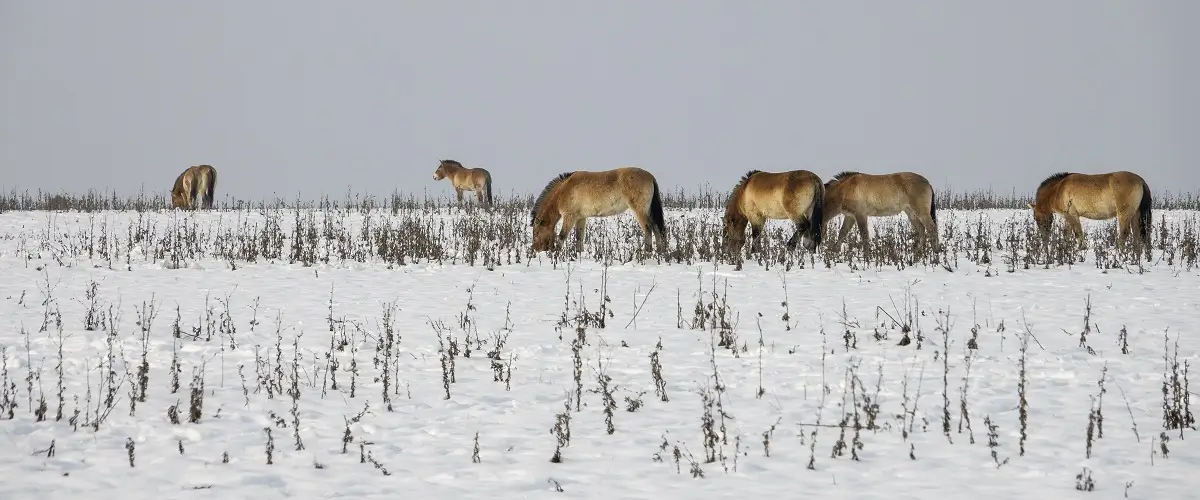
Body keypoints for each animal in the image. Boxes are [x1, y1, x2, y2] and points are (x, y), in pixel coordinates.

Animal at [532, 166, 672, 252]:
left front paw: (556, 255)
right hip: (648, 211)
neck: (564, 190)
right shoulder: (581, 218)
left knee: (648, 229)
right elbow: (579, 239)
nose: (536, 249)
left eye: (537, 232)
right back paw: (660, 252)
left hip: (639, 211)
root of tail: (650, 177)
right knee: (657, 229)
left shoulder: (569, 217)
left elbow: (561, 237)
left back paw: (646, 253)